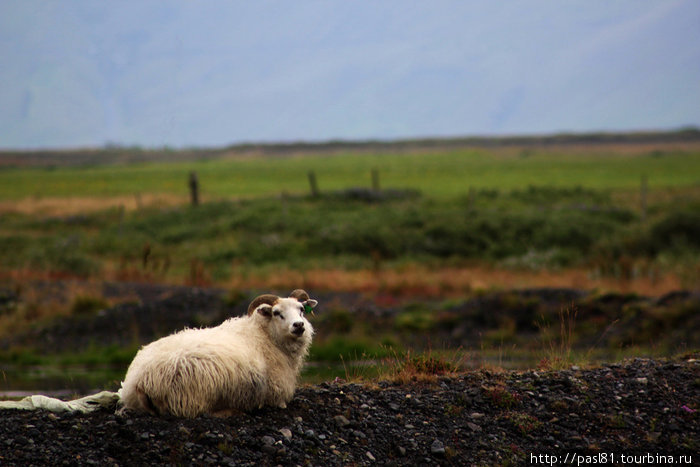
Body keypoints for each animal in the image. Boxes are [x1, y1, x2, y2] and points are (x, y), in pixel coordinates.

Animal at [119, 288, 318, 416]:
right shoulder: (277, 394)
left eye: (301, 309)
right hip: (192, 396)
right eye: (277, 313)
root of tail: (140, 381)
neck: (265, 335)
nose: (299, 325)